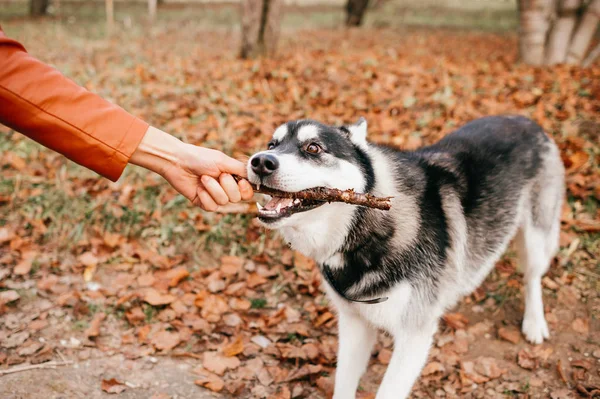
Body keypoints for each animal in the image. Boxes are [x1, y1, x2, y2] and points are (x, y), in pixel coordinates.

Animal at [246, 114, 564, 398]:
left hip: (536, 239)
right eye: (272, 144)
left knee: (532, 277)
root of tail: (527, 120)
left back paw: (534, 321)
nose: (260, 161)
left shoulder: (414, 338)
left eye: (313, 148)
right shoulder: (354, 325)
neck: (363, 231)